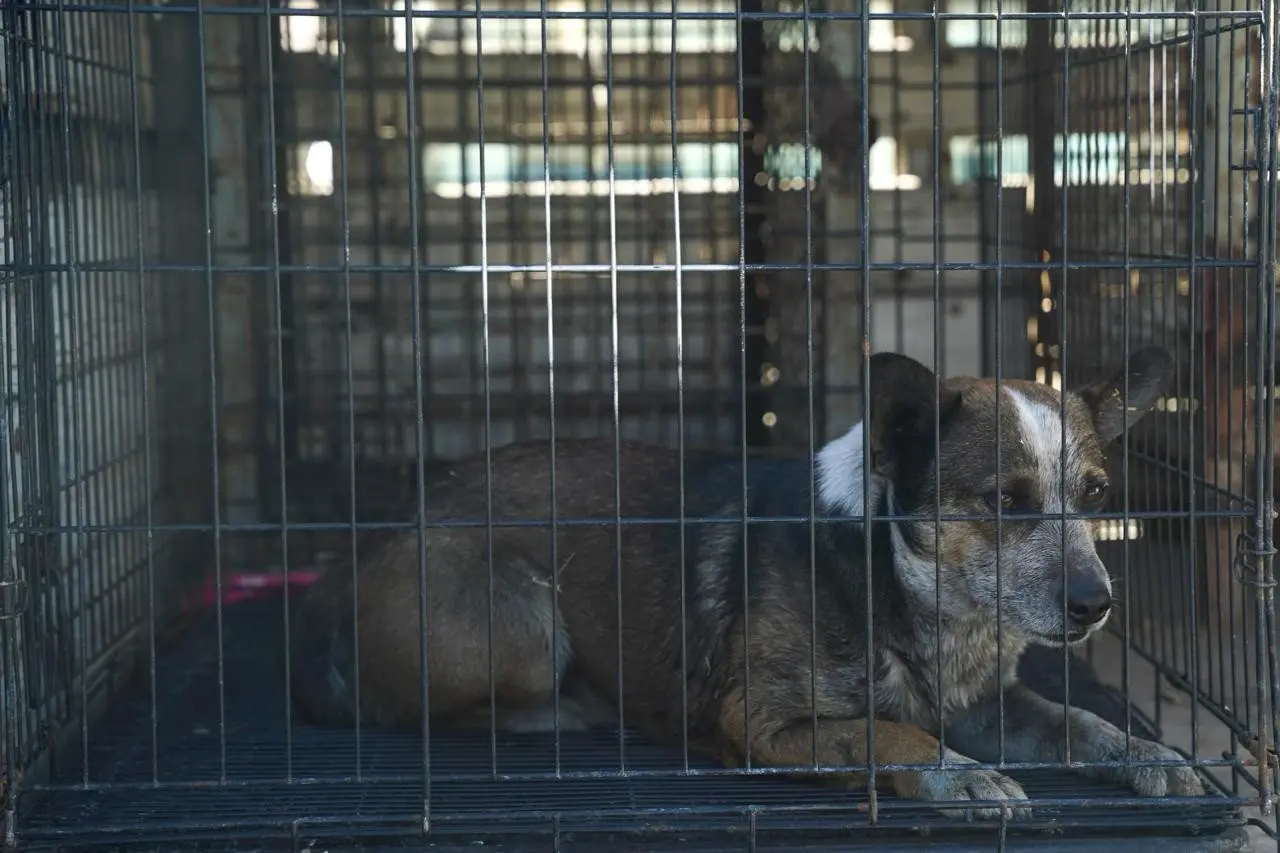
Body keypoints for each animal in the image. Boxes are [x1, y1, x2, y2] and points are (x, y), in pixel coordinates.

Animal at [288, 345, 1198, 819]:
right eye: (1005, 501)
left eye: (1096, 495)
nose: (1095, 604)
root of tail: (373, 542)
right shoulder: (760, 720)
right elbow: (886, 732)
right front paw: (956, 773)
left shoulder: (989, 704)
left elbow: (1082, 721)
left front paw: (1150, 751)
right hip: (524, 620)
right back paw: (565, 708)